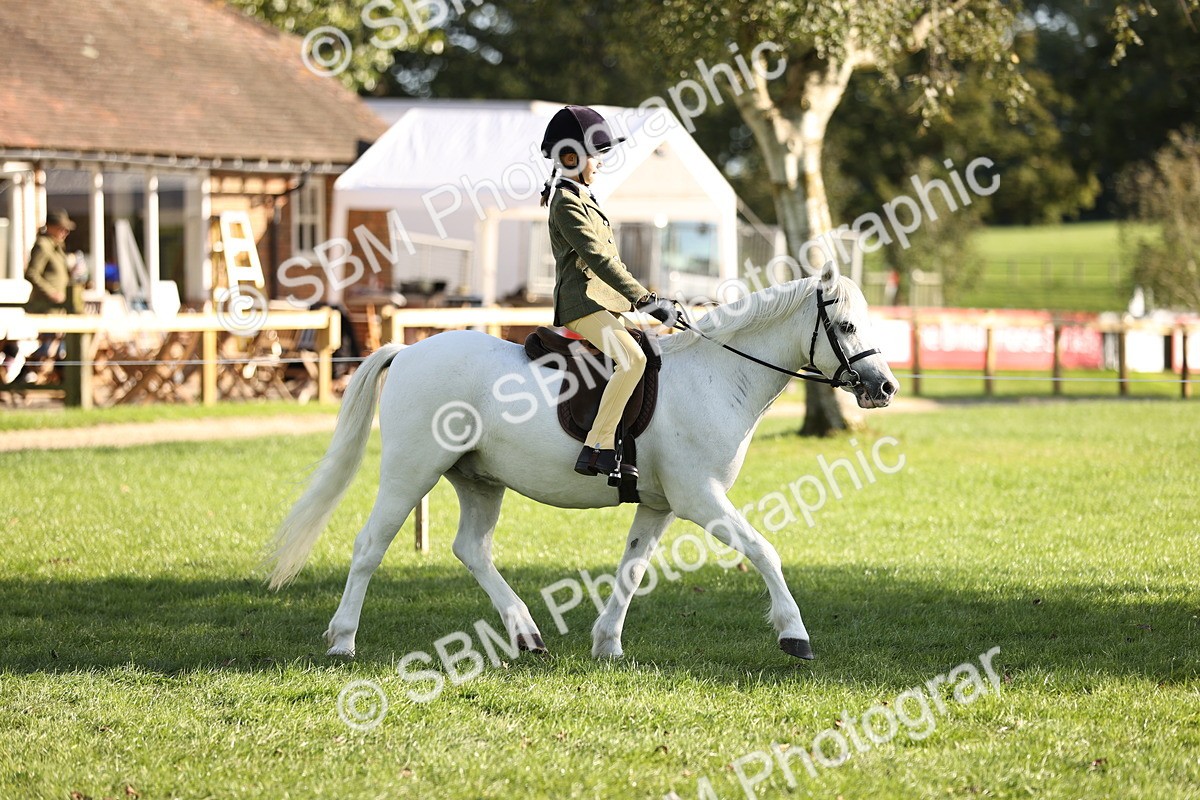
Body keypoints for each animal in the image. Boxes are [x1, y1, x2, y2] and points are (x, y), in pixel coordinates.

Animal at [266, 261, 898, 661]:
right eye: (846, 326)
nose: (885, 388)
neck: (717, 374)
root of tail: (408, 350)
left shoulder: (661, 505)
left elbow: (632, 568)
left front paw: (607, 644)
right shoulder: (701, 498)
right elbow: (765, 551)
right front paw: (795, 636)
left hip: (479, 479)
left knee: (471, 549)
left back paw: (525, 634)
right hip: (409, 473)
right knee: (370, 547)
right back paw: (343, 641)